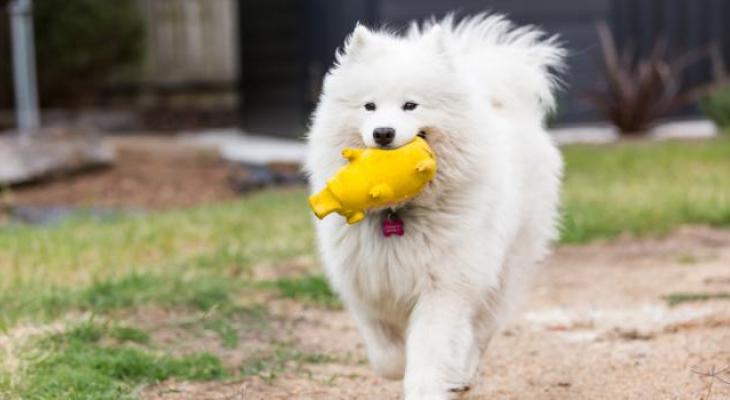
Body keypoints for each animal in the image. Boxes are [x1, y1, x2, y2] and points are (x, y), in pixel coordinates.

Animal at [302, 14, 564, 398]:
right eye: (369, 106)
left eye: (411, 105)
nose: (383, 132)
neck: (397, 211)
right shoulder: (364, 284)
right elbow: (384, 353)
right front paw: (396, 366)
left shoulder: (444, 288)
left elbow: (430, 350)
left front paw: (426, 385)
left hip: (503, 272)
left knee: (480, 331)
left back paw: (463, 373)